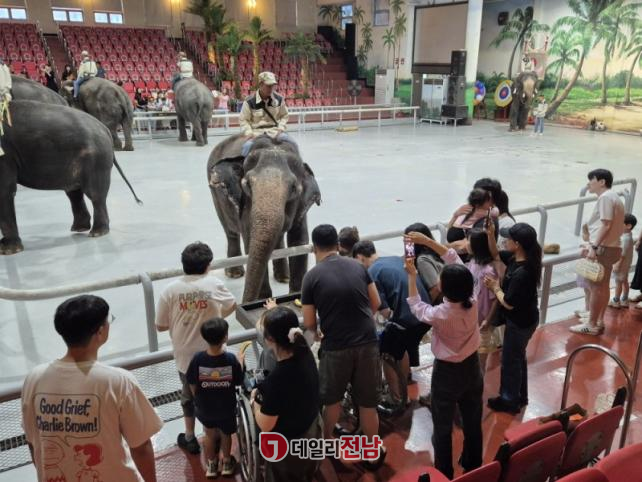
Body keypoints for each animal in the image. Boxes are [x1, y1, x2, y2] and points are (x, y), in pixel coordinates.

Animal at [0, 100, 141, 255]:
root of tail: (104, 129)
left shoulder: (5, 154)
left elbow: (4, 190)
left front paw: (8, 251)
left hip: (97, 159)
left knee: (94, 194)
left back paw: (97, 232)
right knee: (74, 191)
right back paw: (80, 228)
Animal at [207, 134, 321, 302]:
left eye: (294, 188)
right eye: (246, 184)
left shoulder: (301, 206)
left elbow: (299, 241)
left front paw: (296, 295)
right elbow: (249, 241)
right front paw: (262, 300)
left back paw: (284, 277)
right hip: (214, 193)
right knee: (230, 231)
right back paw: (235, 273)